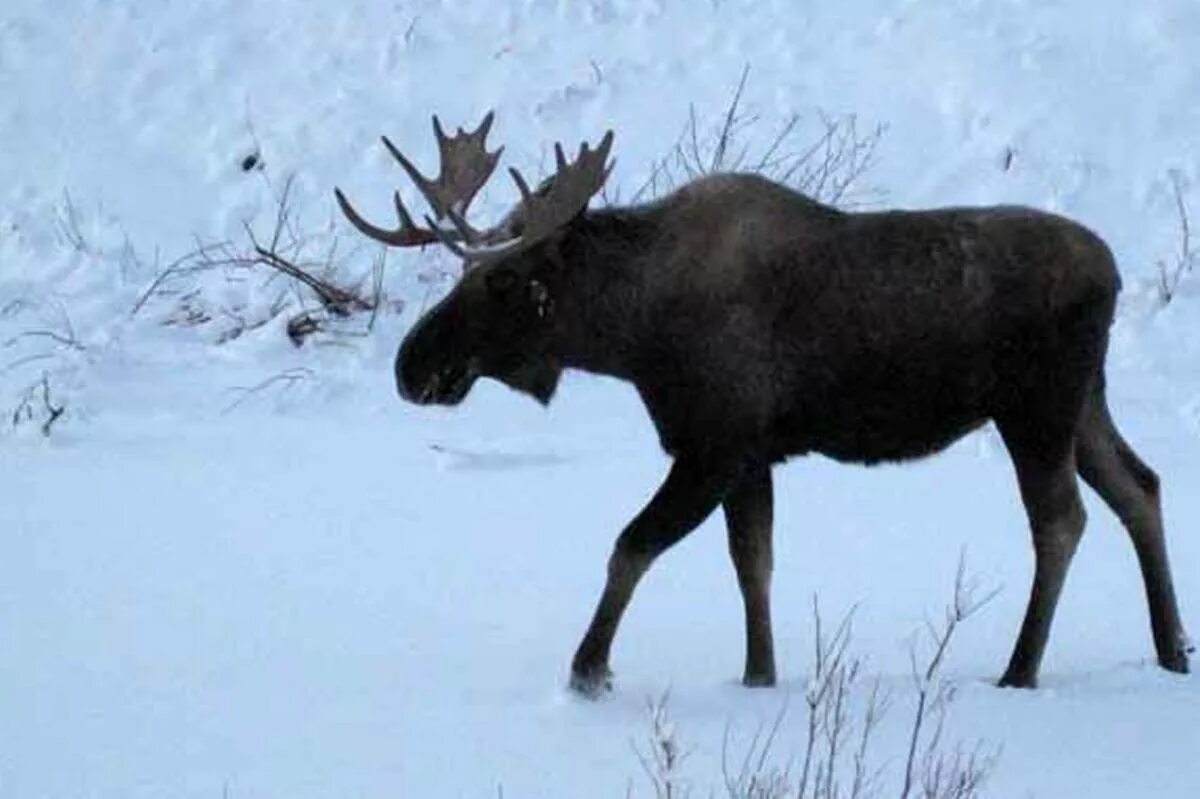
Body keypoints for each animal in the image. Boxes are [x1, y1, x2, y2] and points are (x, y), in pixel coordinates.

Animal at [336, 112, 1190, 691]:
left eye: (505, 278)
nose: (412, 365)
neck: (633, 334)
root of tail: (1114, 271)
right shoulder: (753, 453)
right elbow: (754, 563)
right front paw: (757, 675)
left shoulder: (714, 443)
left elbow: (631, 545)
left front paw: (589, 669)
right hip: (1085, 402)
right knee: (1140, 487)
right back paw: (1172, 648)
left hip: (1036, 407)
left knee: (1063, 519)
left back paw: (1021, 670)